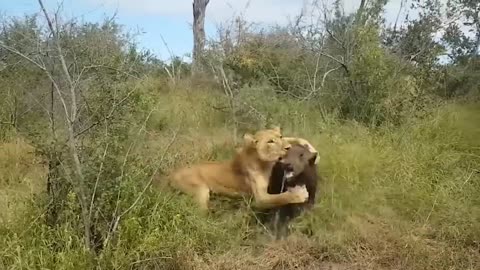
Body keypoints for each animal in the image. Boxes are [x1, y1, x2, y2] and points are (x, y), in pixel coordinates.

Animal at [169, 126, 318, 211]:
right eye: (270, 141)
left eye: (280, 136)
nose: (287, 148)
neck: (265, 162)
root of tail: (170, 175)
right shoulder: (260, 198)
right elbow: (282, 197)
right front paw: (300, 194)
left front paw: (307, 144)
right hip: (200, 191)